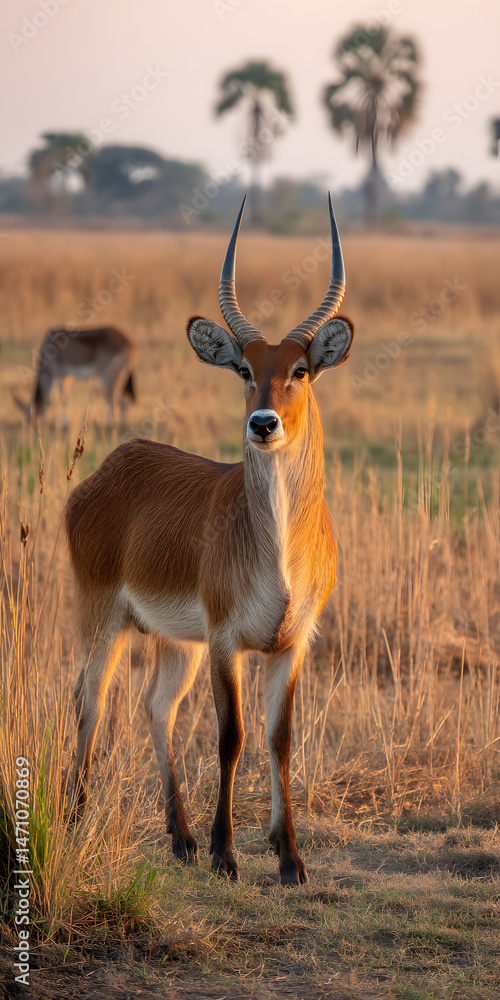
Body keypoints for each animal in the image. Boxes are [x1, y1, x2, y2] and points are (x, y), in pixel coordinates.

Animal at [65, 195, 353, 886]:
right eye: (246, 369)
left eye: (300, 369)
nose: (263, 423)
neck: (278, 554)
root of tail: (109, 467)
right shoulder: (226, 643)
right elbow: (232, 736)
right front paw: (228, 853)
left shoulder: (292, 643)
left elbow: (279, 738)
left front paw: (290, 857)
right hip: (104, 618)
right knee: (89, 697)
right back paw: (77, 815)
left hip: (175, 642)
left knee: (155, 705)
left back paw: (181, 837)